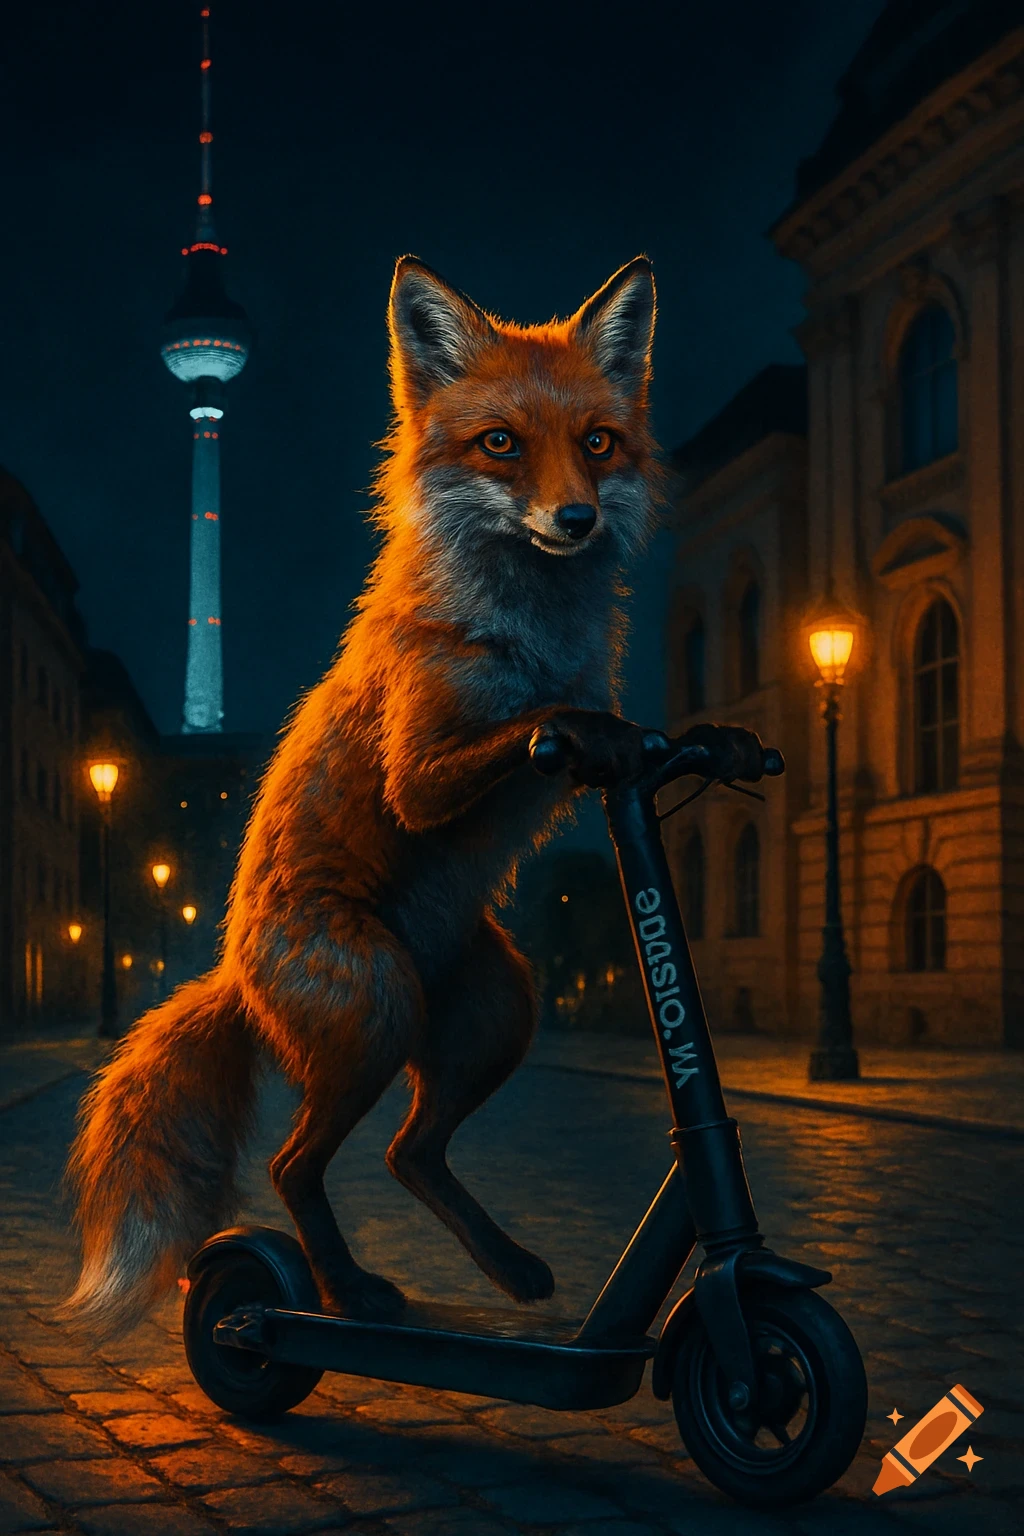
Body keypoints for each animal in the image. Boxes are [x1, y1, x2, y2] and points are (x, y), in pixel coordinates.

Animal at [64, 253, 666, 1337]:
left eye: (598, 443)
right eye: (500, 444)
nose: (577, 520)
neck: (527, 626)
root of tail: (233, 972)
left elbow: (583, 728)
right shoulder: (420, 771)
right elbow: (523, 732)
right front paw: (570, 726)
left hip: (496, 1014)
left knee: (407, 1151)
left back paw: (505, 1268)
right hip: (377, 1009)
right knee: (293, 1164)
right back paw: (343, 1292)